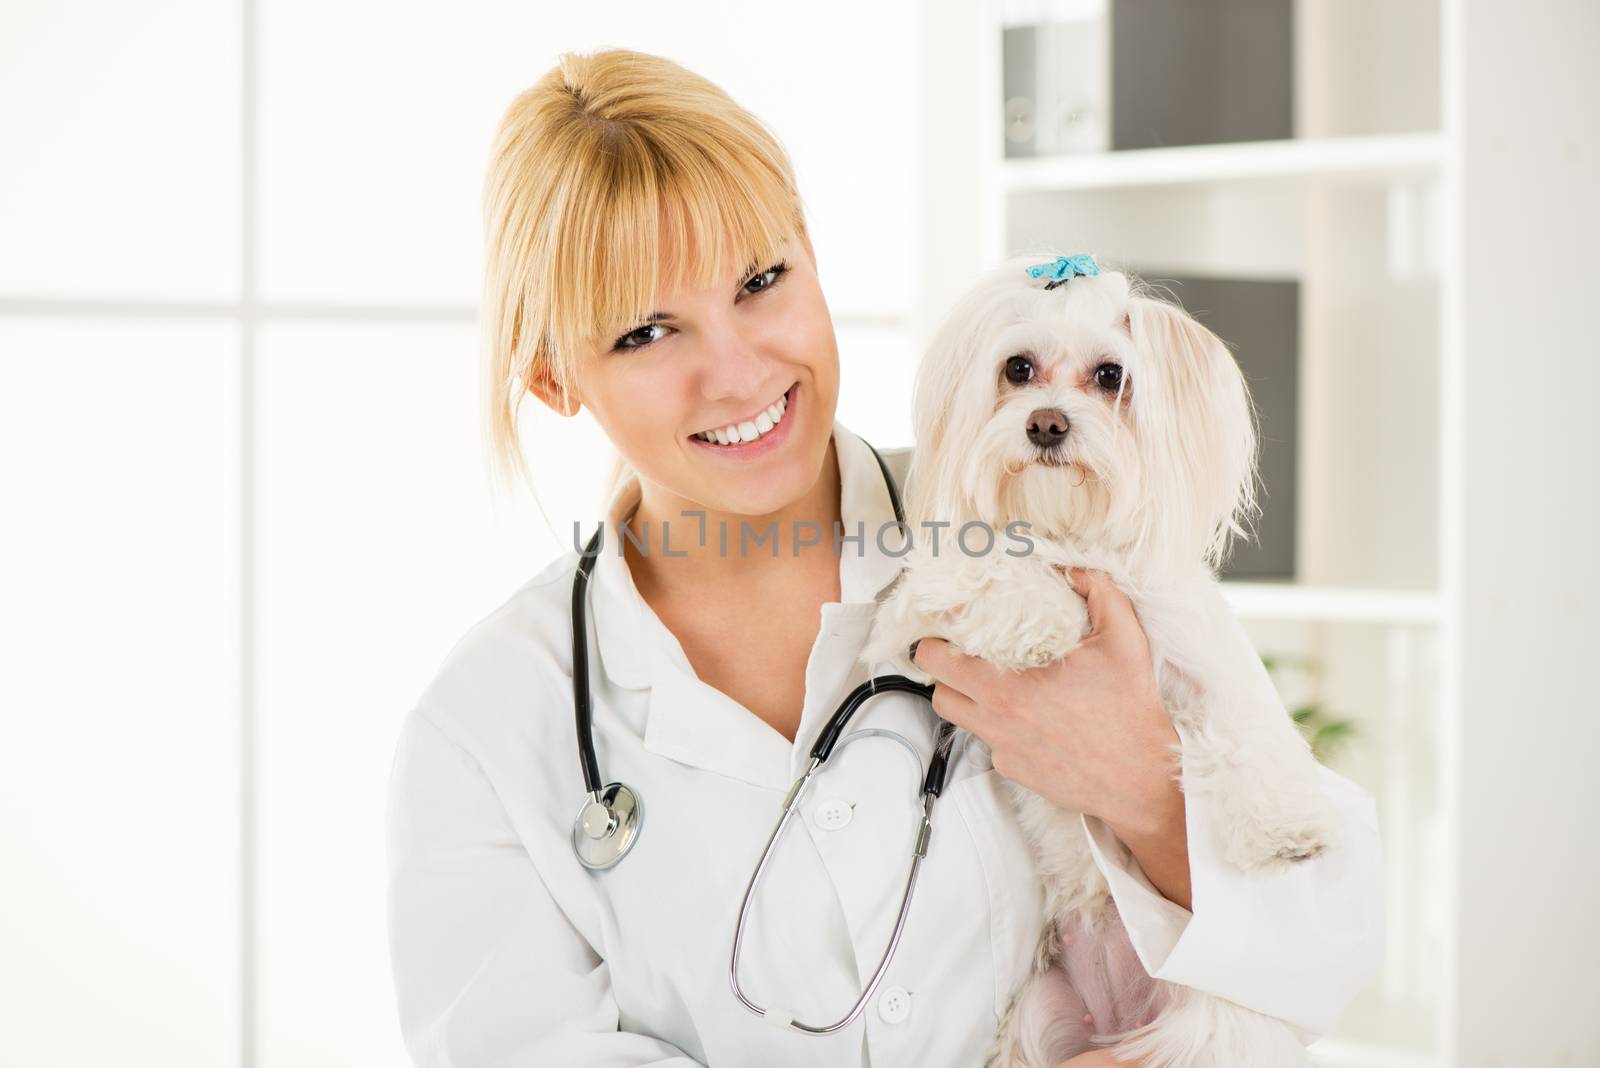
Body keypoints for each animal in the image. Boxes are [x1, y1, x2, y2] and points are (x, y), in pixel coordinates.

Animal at [864, 252, 1337, 1068]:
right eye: (1018, 369)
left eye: (1112, 375)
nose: (1045, 422)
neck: (1075, 535)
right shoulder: (914, 619)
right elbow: (991, 572)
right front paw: (1045, 620)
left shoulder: (1201, 655)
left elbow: (1246, 727)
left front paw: (1284, 821)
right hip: (1036, 1015)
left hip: (1215, 1021)